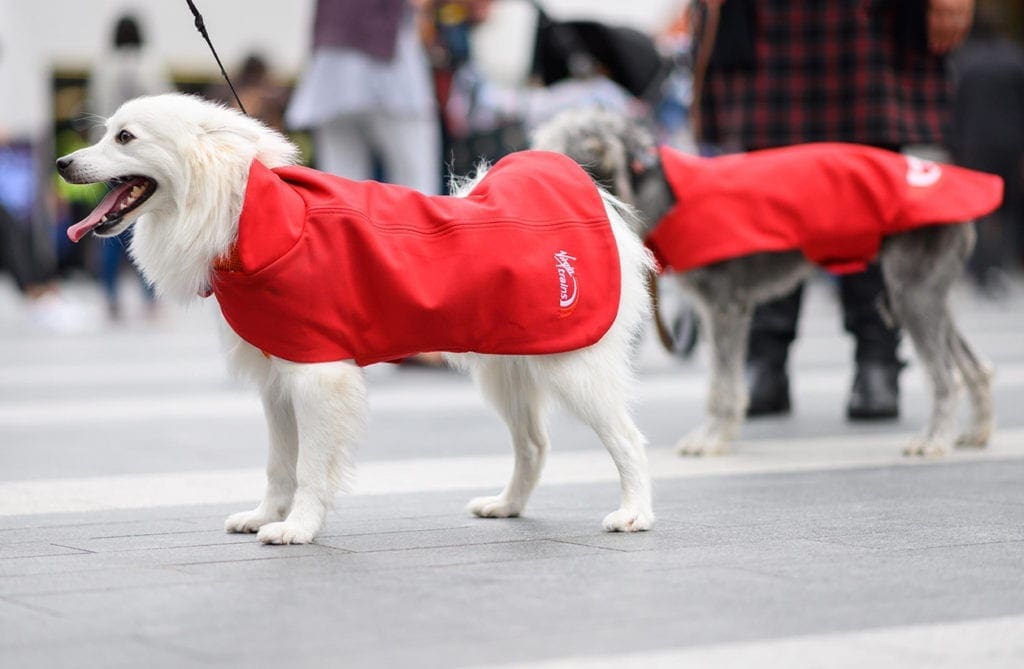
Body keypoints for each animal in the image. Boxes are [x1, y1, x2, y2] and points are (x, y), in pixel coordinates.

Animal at [59, 93, 655, 540]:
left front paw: (297, 528)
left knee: (629, 441)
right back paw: (506, 505)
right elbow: (279, 464)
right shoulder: (279, 381)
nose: (62, 164)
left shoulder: (318, 376)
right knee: (533, 445)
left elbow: (309, 468)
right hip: (508, 370)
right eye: (107, 133)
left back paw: (634, 515)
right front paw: (265, 517)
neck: (249, 216)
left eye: (125, 138)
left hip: (574, 369)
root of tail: (598, 200)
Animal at [532, 109, 995, 456]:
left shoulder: (724, 307)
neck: (659, 192)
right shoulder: (723, 310)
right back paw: (976, 433)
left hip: (912, 293)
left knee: (945, 376)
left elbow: (722, 384)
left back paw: (934, 441)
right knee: (975, 366)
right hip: (922, 293)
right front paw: (718, 435)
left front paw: (711, 440)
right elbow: (726, 381)